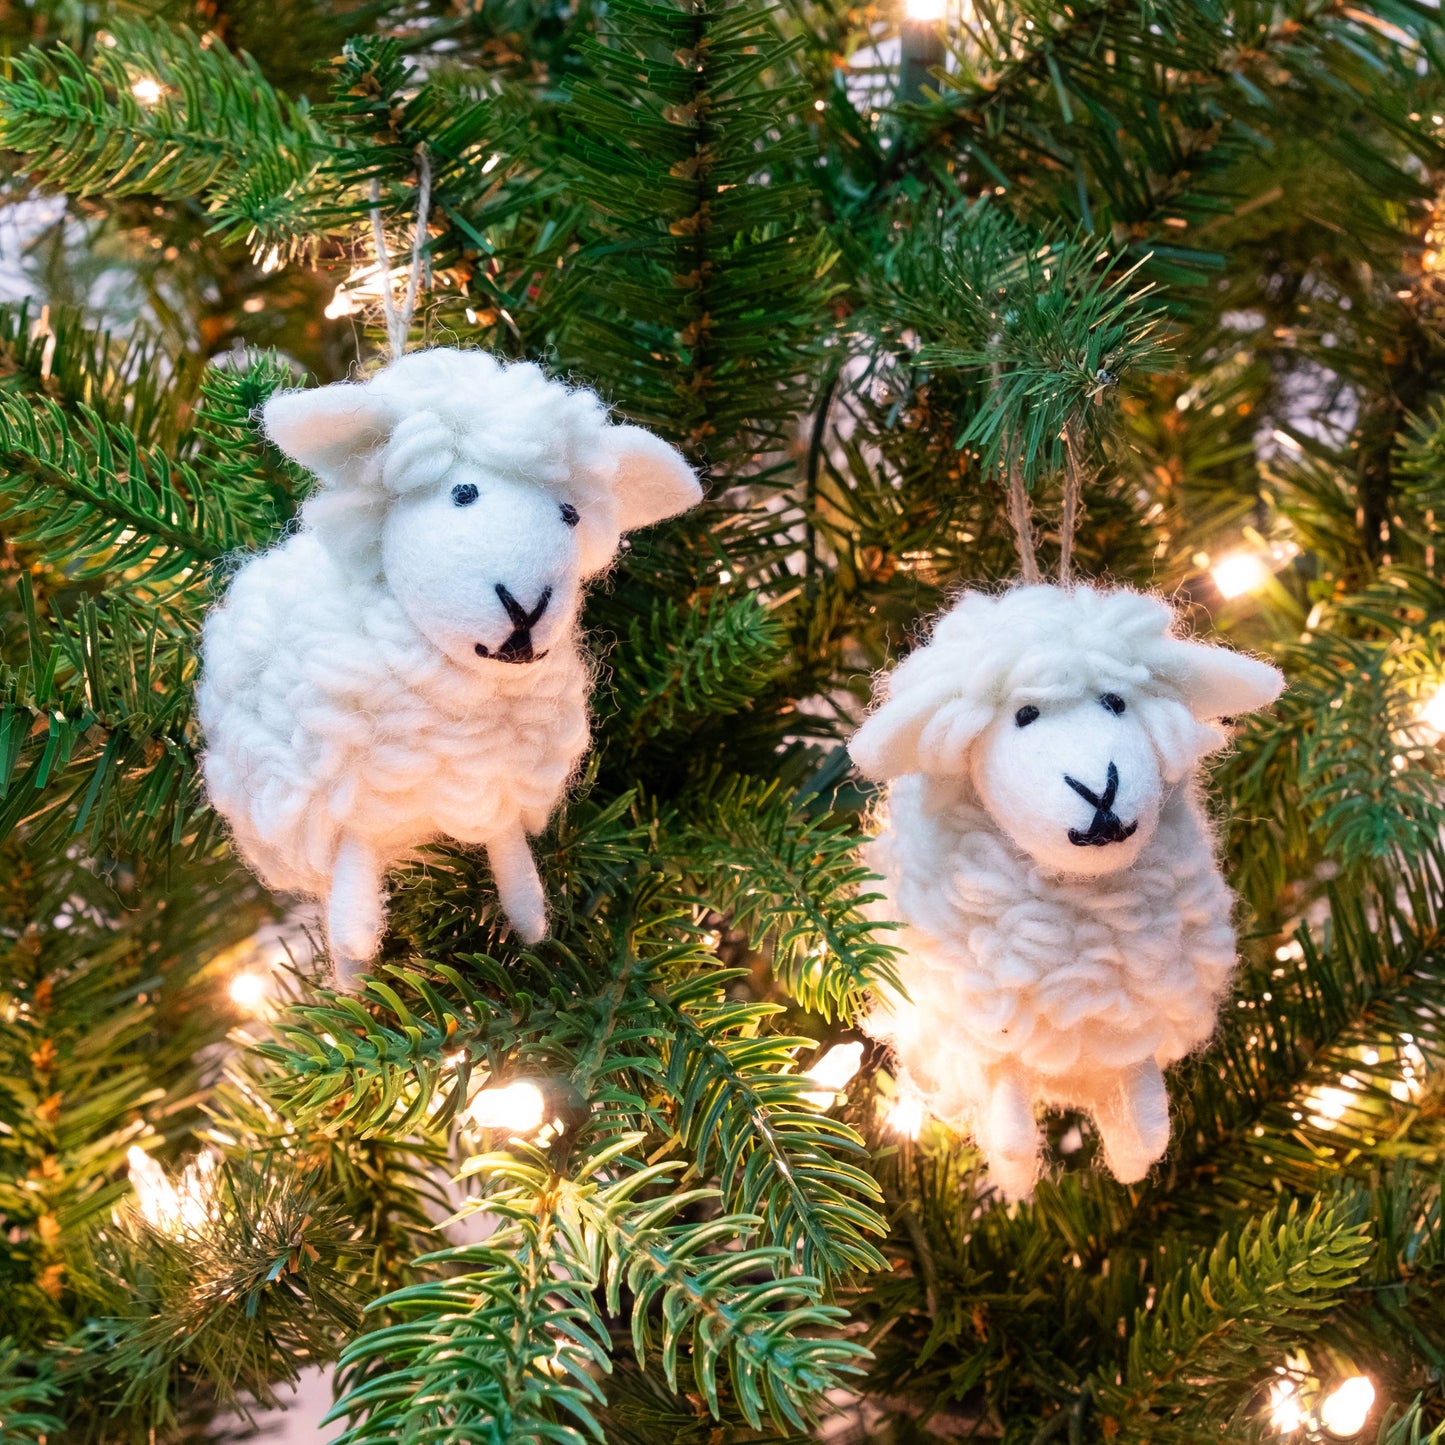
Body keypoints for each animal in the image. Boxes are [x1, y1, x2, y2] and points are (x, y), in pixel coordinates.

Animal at [196, 348, 701, 977]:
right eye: (463, 493)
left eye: (570, 515)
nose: (528, 608)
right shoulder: (340, 796)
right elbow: (354, 862)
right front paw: (357, 946)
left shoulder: (497, 782)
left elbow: (507, 843)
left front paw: (531, 922)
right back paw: (351, 973)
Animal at [849, 583, 1283, 1198]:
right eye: (1023, 716)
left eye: (1116, 702)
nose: (1101, 790)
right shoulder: (989, 1028)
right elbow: (1006, 1107)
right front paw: (1014, 1172)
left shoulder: (1134, 1018)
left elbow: (1142, 1093)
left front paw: (1141, 1149)